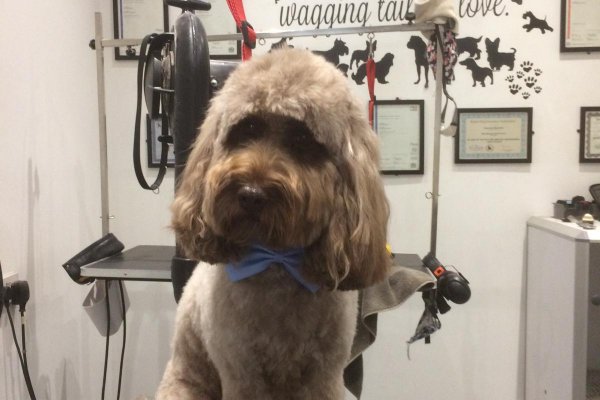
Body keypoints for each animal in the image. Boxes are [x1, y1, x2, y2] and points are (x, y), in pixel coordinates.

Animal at [156, 48, 390, 398]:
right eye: (246, 129)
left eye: (302, 139)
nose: (251, 194)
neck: (277, 263)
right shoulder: (241, 372)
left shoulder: (324, 377)